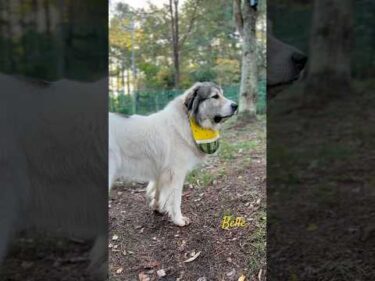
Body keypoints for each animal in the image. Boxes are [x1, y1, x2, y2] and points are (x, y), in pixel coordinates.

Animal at [108, 81, 238, 225]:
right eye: (215, 96)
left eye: (222, 94)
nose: (236, 105)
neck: (189, 120)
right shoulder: (176, 173)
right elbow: (176, 199)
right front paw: (178, 220)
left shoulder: (161, 172)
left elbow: (158, 192)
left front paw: (157, 207)